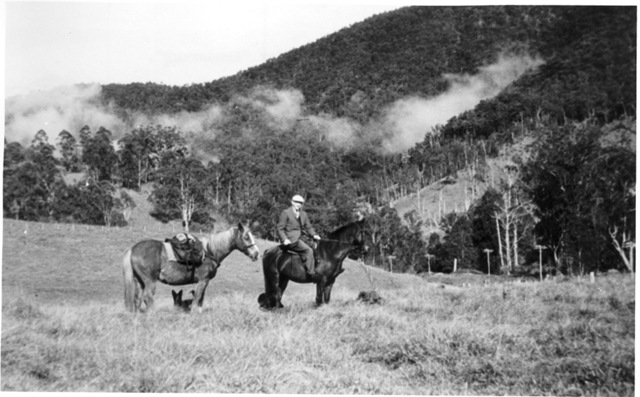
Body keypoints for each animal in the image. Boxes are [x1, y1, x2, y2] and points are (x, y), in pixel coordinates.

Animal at [122, 223, 258, 312]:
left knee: (137, 299)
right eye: (246, 237)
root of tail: (132, 249)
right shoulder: (203, 281)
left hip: (139, 281)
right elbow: (197, 299)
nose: (256, 254)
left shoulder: (203, 282)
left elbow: (200, 300)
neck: (209, 251)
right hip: (149, 281)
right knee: (147, 298)